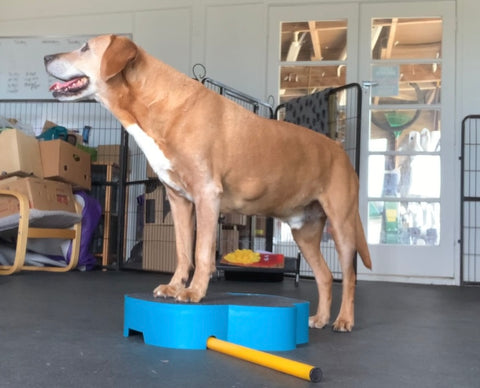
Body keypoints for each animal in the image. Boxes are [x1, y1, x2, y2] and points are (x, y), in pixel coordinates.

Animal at [45, 34, 372, 330]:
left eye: (85, 47)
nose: (46, 57)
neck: (160, 106)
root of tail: (339, 150)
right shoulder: (179, 201)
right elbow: (182, 251)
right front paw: (175, 286)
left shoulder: (206, 195)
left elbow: (202, 252)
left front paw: (194, 291)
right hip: (304, 232)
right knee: (326, 276)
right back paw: (320, 318)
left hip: (342, 226)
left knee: (350, 277)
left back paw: (344, 320)